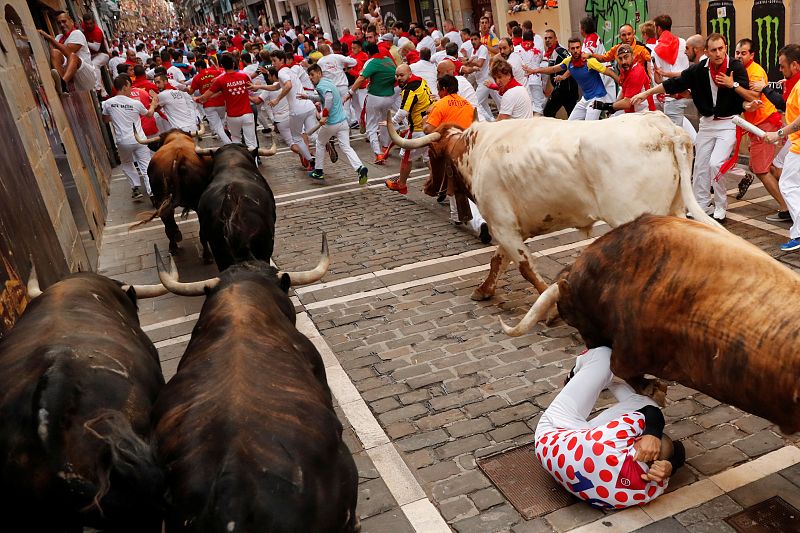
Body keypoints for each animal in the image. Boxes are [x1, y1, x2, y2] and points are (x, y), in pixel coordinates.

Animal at [388, 110, 720, 302]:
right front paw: (484, 290)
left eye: (433, 154)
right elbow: (498, 260)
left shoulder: (502, 224)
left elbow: (524, 267)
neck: (477, 150)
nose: (427, 187)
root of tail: (661, 127)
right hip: (674, 211)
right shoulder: (507, 227)